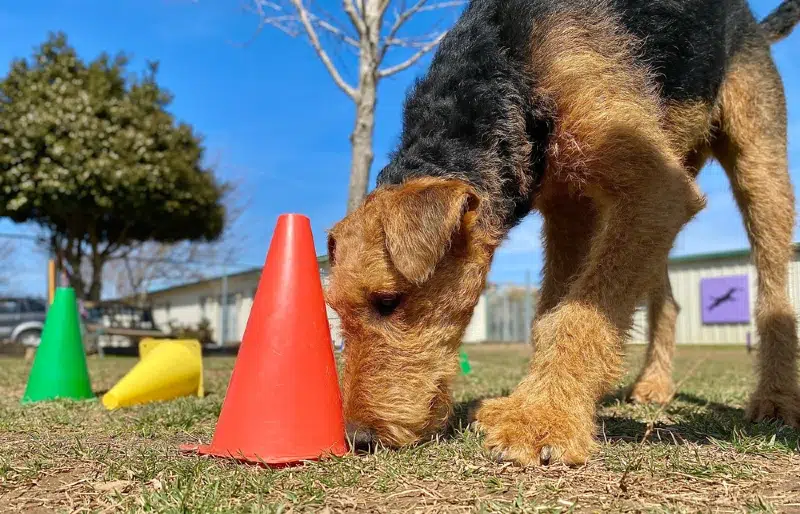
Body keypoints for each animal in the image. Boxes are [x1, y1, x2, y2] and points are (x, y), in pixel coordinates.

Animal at [324, 0, 800, 464]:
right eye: (336, 310)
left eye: (388, 301)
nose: (358, 437)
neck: (508, 67)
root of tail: (750, 21)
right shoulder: (570, 205)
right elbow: (551, 311)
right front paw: (532, 402)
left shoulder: (655, 188)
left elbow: (578, 315)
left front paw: (540, 418)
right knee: (666, 300)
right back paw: (654, 384)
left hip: (756, 164)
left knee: (774, 291)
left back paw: (776, 399)